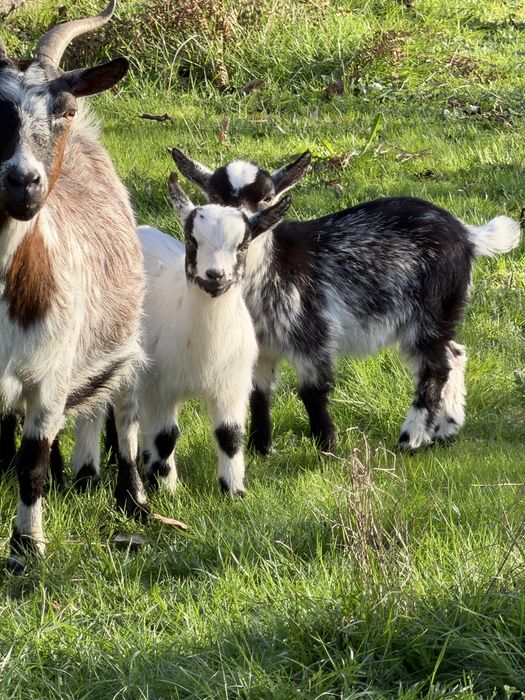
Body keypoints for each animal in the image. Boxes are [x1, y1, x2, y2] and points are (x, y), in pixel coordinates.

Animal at [0, 0, 147, 570]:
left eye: (60, 109)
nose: (22, 182)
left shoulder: (51, 373)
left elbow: (32, 463)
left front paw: (26, 548)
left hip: (121, 345)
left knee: (124, 417)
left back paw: (133, 501)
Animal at [171, 148, 521, 454]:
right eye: (215, 198)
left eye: (267, 198)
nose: (248, 225)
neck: (269, 269)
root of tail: (466, 234)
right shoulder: (262, 347)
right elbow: (258, 394)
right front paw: (260, 449)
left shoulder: (313, 334)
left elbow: (312, 391)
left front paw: (326, 448)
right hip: (444, 309)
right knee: (455, 353)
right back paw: (447, 429)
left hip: (430, 308)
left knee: (435, 366)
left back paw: (411, 438)